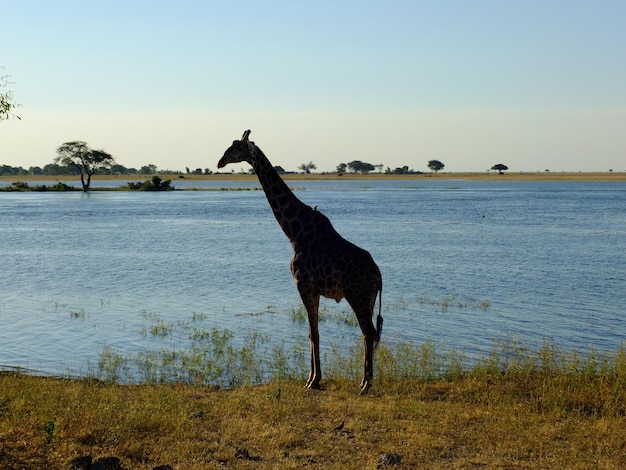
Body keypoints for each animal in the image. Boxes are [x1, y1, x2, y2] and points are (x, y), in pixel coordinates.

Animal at [217, 129, 382, 392]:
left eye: (237, 148)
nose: (219, 162)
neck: (295, 232)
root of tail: (379, 275)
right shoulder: (312, 289)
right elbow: (312, 332)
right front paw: (312, 378)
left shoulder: (303, 284)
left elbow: (313, 333)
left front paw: (313, 380)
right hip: (368, 298)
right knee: (372, 333)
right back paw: (364, 381)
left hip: (357, 295)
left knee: (369, 332)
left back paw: (365, 384)